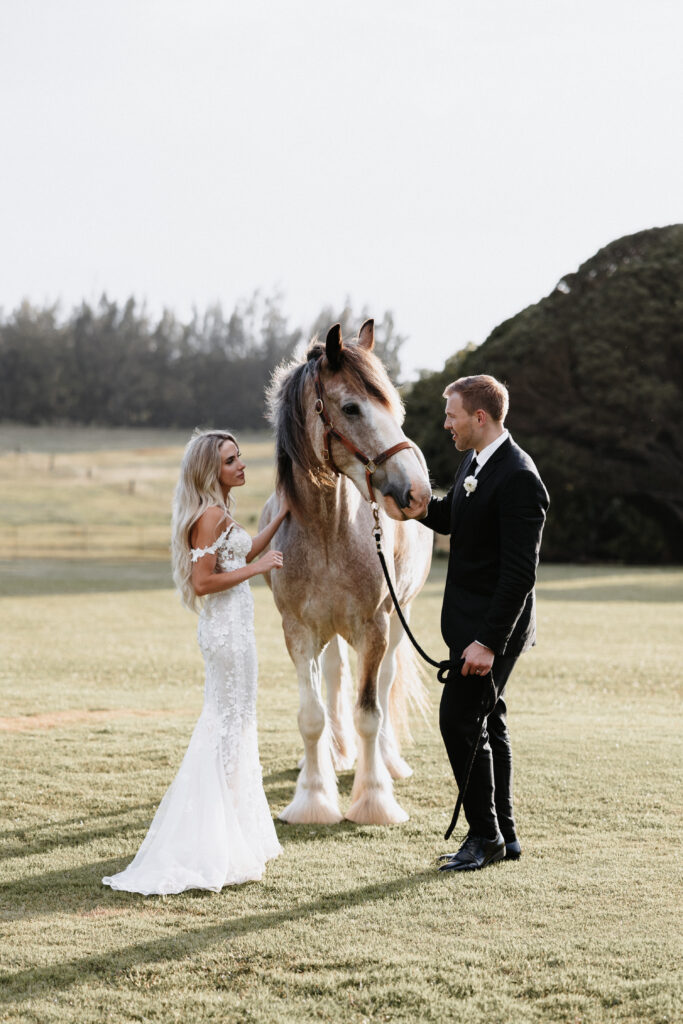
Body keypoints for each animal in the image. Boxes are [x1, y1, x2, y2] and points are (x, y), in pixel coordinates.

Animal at [258, 318, 433, 825]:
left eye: (393, 405)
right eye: (352, 407)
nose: (418, 492)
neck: (326, 531)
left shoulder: (375, 627)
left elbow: (370, 712)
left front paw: (374, 800)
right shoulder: (297, 631)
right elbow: (311, 714)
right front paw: (313, 799)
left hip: (397, 619)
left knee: (387, 682)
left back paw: (388, 762)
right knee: (335, 676)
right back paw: (334, 755)